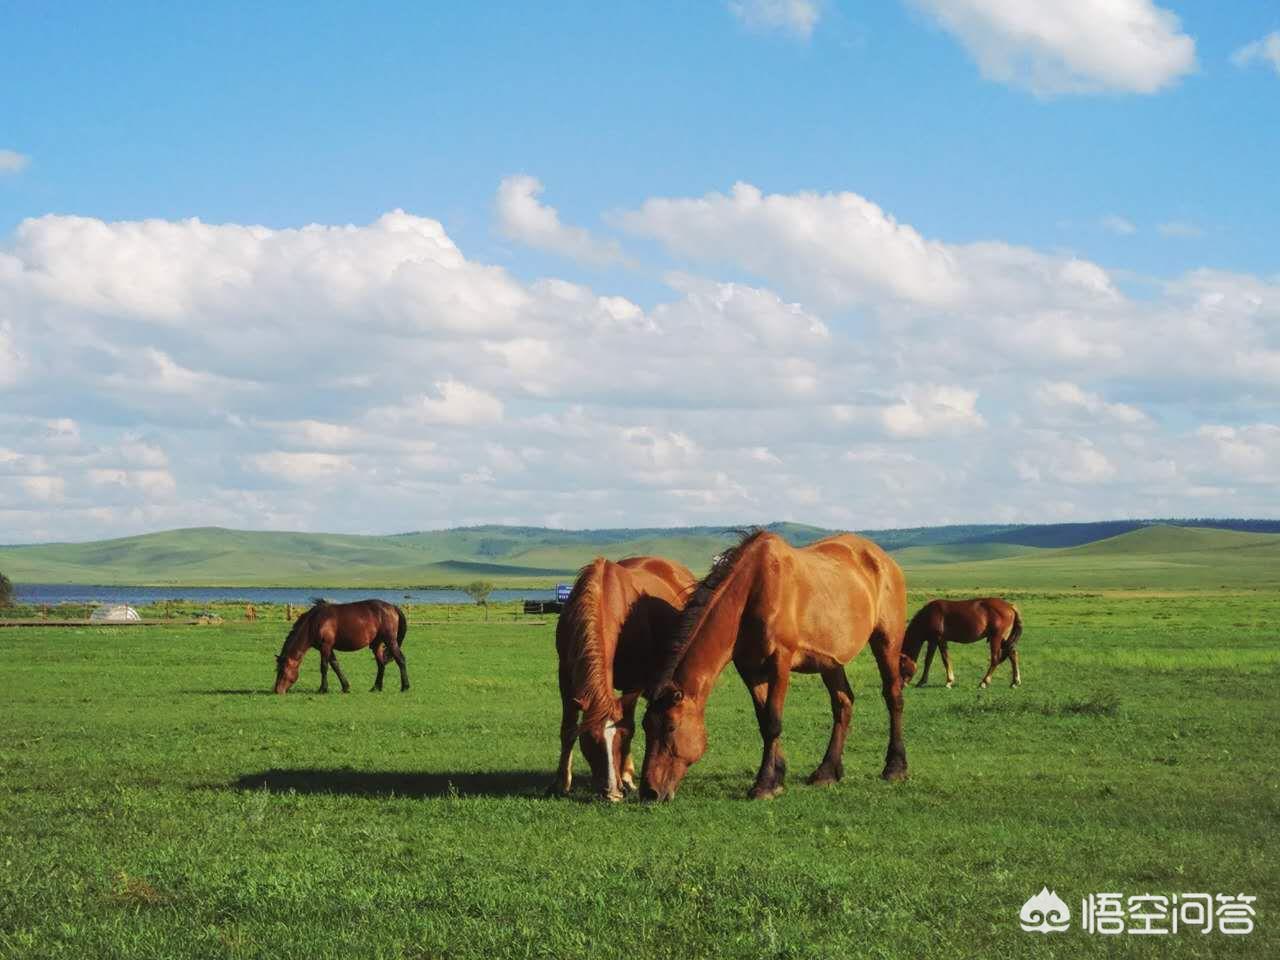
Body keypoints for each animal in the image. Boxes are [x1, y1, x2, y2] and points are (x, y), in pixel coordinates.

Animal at [272, 599, 407, 696]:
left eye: (282, 671)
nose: (277, 690)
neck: (314, 622)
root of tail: (392, 607)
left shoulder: (325, 646)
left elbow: (324, 667)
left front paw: (322, 689)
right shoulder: (327, 648)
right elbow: (335, 665)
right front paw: (345, 687)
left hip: (390, 641)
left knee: (400, 660)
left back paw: (405, 687)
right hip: (376, 644)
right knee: (381, 664)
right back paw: (376, 687)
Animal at [547, 555, 696, 803]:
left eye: (620, 739)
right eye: (590, 739)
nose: (612, 793)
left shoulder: (633, 683)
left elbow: (631, 723)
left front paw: (626, 778)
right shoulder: (566, 675)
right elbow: (567, 729)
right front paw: (561, 783)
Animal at [640, 535, 911, 803]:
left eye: (670, 727)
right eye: (645, 726)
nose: (648, 792)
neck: (751, 591)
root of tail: (884, 560)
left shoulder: (780, 661)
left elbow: (773, 720)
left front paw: (765, 784)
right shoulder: (749, 669)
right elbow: (763, 720)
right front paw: (778, 774)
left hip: (887, 641)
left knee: (893, 697)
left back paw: (895, 768)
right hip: (830, 661)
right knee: (843, 704)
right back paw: (827, 772)